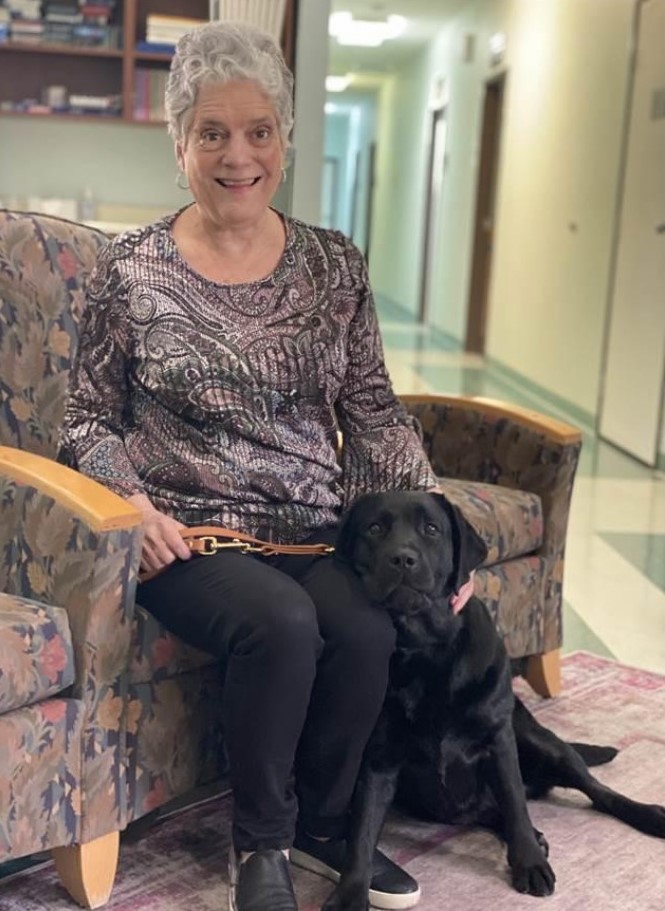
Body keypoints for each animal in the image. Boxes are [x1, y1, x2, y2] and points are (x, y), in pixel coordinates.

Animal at [326, 492, 664, 911]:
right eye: (374, 528)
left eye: (431, 529)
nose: (403, 558)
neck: (426, 650)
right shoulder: (379, 759)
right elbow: (361, 832)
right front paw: (350, 893)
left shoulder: (499, 741)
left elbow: (515, 802)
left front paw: (529, 864)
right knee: (496, 809)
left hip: (542, 743)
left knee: (595, 791)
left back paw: (647, 815)